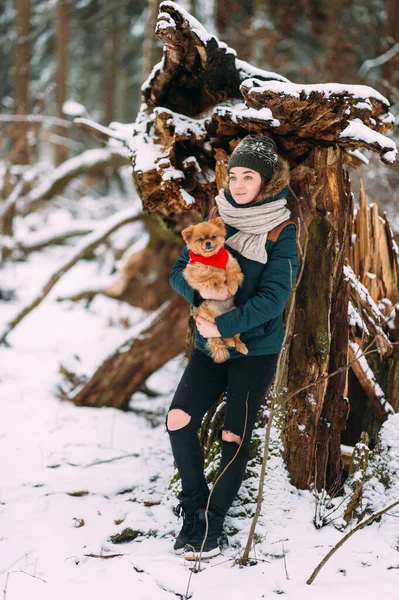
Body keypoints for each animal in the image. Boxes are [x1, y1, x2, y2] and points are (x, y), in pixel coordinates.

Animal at [181, 218, 247, 364]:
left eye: (213, 237)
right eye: (200, 239)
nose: (208, 242)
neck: (212, 259)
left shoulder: (234, 266)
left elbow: (230, 274)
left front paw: (232, 286)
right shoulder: (197, 278)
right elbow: (214, 276)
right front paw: (222, 287)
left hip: (232, 316)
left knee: (233, 334)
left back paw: (240, 346)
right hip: (212, 314)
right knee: (222, 335)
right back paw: (230, 342)